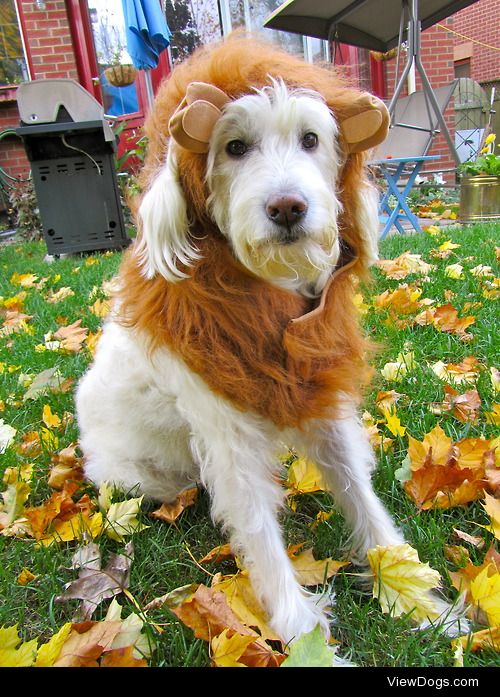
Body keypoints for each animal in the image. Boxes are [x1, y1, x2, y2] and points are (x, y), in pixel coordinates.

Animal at [76, 66, 462, 648]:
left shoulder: (321, 399)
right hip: (141, 477)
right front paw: (302, 633)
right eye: (233, 147)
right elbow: (259, 529)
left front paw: (418, 597)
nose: (287, 208)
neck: (265, 299)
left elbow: (363, 499)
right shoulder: (229, 435)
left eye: (311, 139)